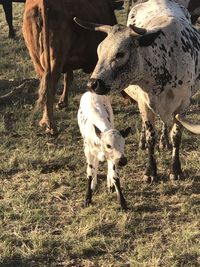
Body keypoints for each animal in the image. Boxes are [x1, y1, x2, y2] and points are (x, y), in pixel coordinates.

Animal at [22, 0, 124, 134]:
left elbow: (68, 78)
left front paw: (63, 102)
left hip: (36, 58)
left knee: (43, 86)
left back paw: (45, 120)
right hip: (55, 58)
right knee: (50, 85)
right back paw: (50, 124)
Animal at [74, 0, 200, 183]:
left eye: (120, 54)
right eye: (98, 51)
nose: (92, 84)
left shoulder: (183, 105)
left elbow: (176, 135)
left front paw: (176, 169)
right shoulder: (144, 103)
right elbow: (150, 137)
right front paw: (151, 171)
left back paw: (164, 142)